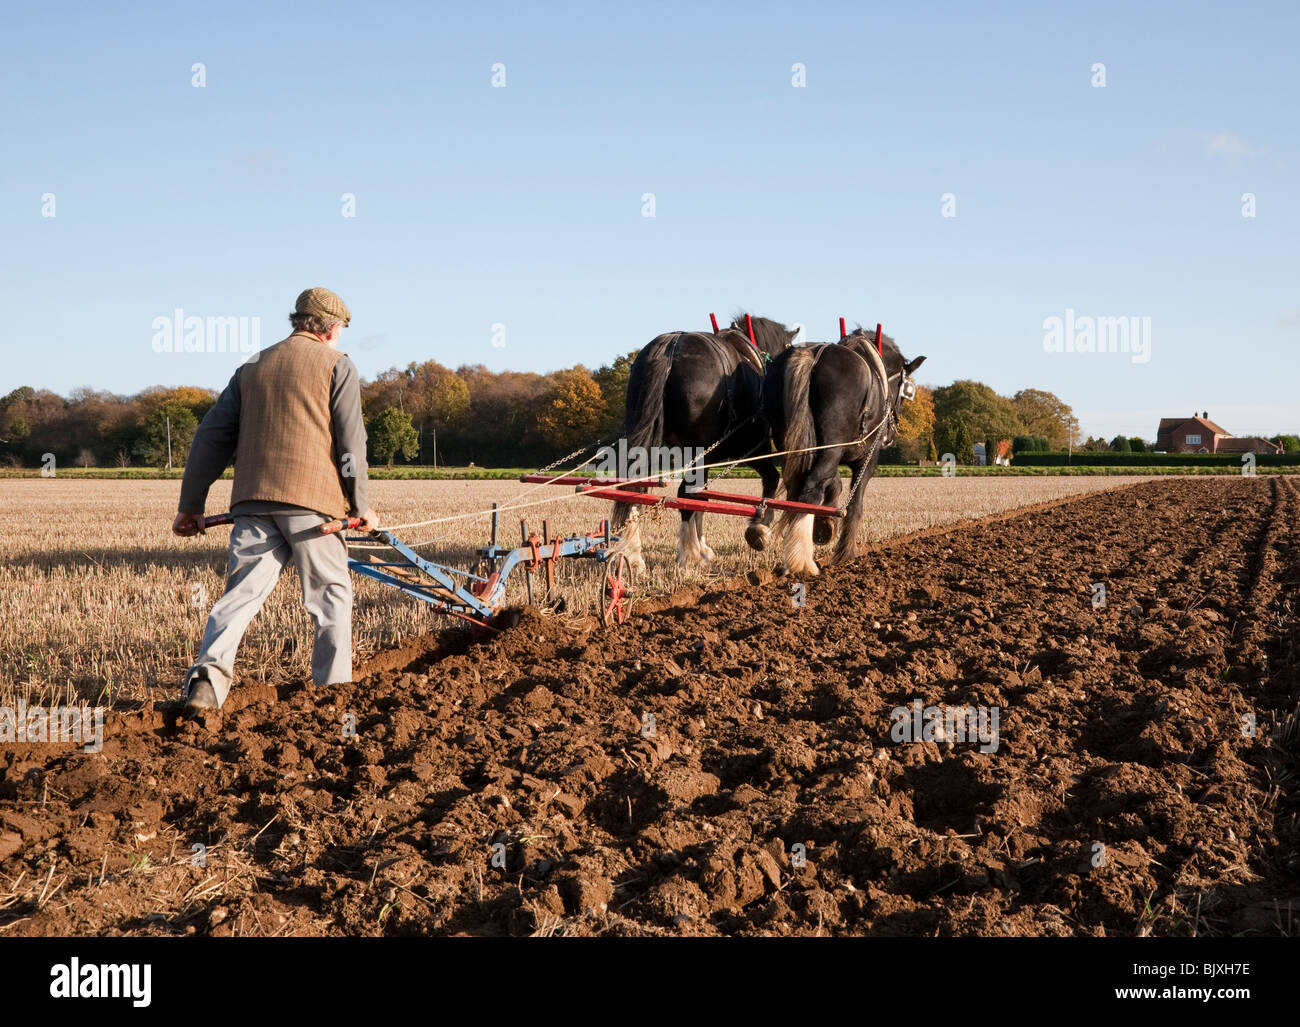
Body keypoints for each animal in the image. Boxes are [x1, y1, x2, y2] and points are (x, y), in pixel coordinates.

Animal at [613, 313, 795, 572]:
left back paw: (634, 556)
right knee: (685, 491)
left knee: (636, 488)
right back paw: (688, 554)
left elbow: (703, 497)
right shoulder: (751, 449)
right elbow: (770, 478)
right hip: (699, 450)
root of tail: (670, 347)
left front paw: (704, 546)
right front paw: (758, 528)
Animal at [759, 326, 925, 574]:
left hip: (792, 443)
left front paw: (824, 525)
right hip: (832, 447)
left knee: (797, 487)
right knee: (811, 488)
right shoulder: (866, 460)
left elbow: (834, 483)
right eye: (902, 393)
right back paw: (801, 559)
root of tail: (812, 354)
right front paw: (846, 553)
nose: (891, 433)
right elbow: (855, 503)